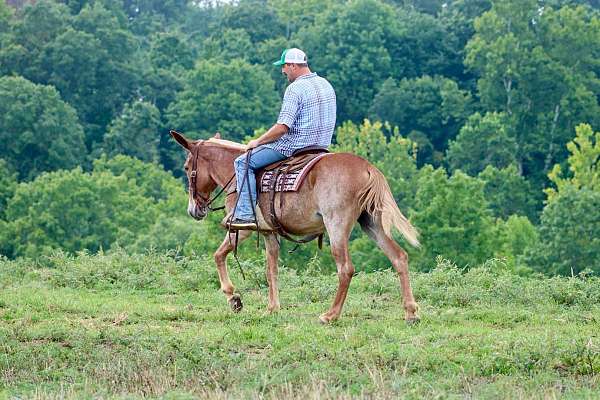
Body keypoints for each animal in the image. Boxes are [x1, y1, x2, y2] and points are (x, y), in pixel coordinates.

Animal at [170, 131, 422, 324]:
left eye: (186, 167)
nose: (194, 210)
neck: (236, 176)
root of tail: (368, 168)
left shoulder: (243, 227)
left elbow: (219, 255)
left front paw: (234, 298)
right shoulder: (269, 233)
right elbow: (270, 270)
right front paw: (272, 308)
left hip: (337, 225)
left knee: (346, 268)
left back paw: (330, 315)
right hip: (372, 222)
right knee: (399, 257)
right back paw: (411, 312)